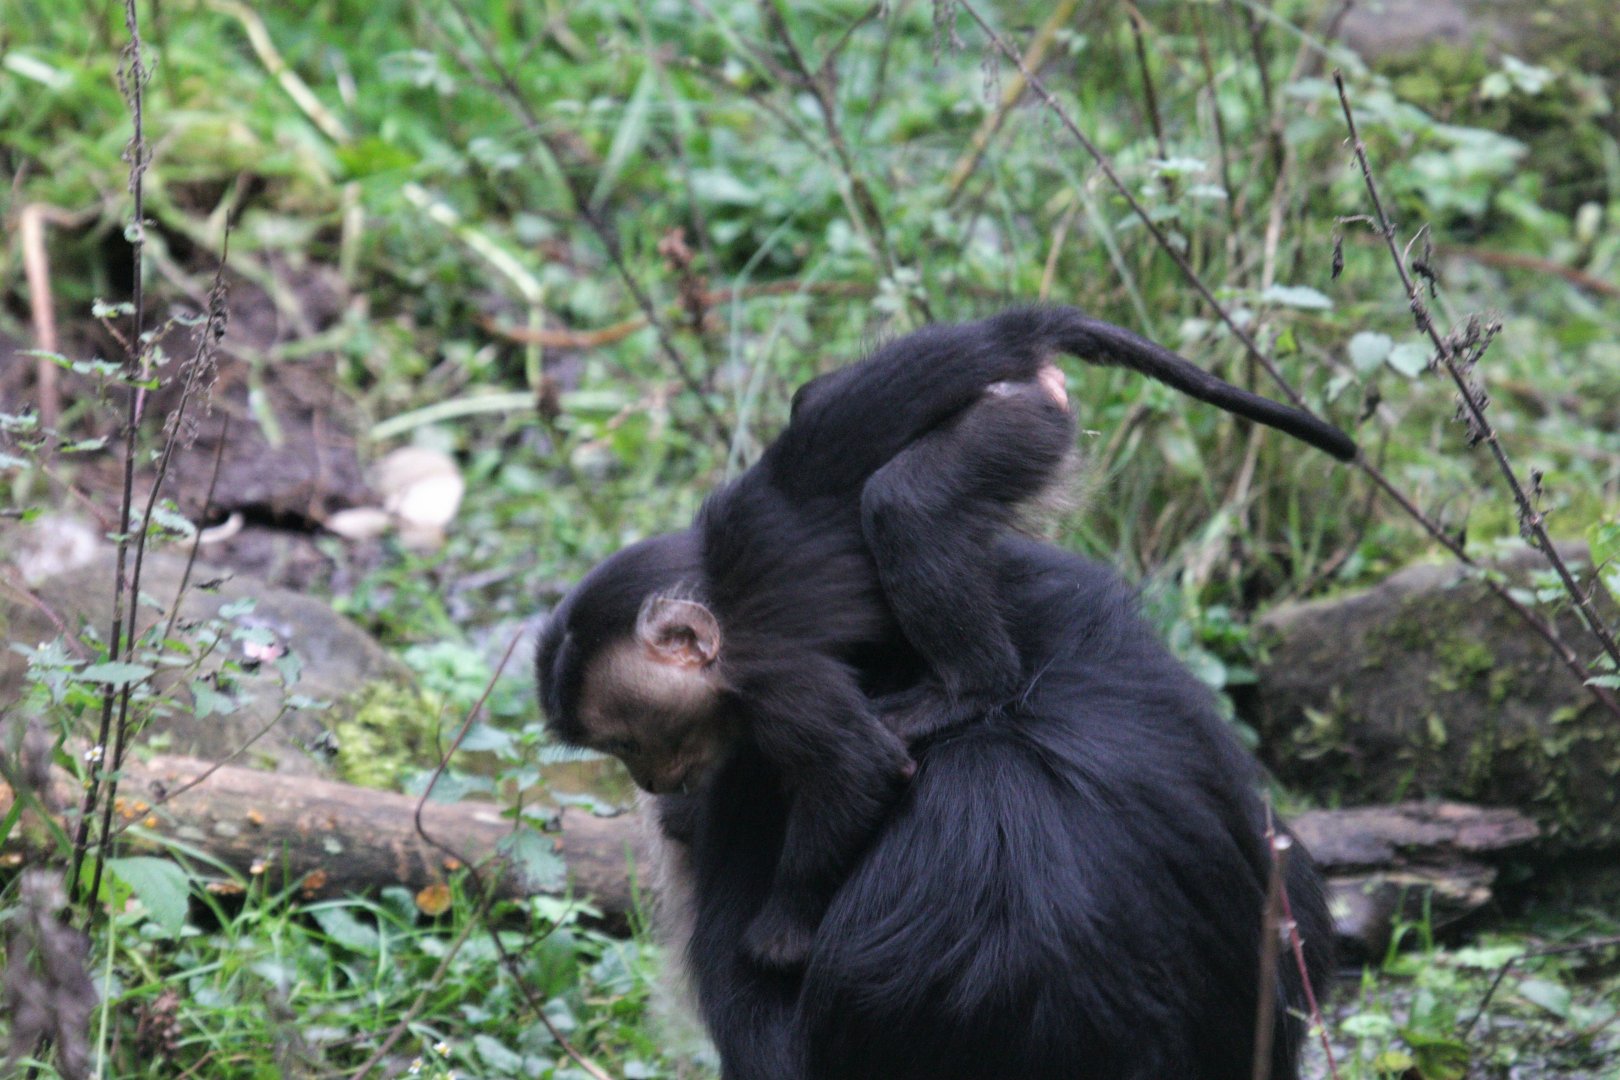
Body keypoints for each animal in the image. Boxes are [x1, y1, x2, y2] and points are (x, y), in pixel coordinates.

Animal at [537, 305, 1355, 972]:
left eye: (630, 742)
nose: (647, 782)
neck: (718, 609)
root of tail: (1004, 337)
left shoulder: (773, 680)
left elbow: (859, 770)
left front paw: (783, 932)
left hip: (1017, 424)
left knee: (907, 503)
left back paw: (968, 686)